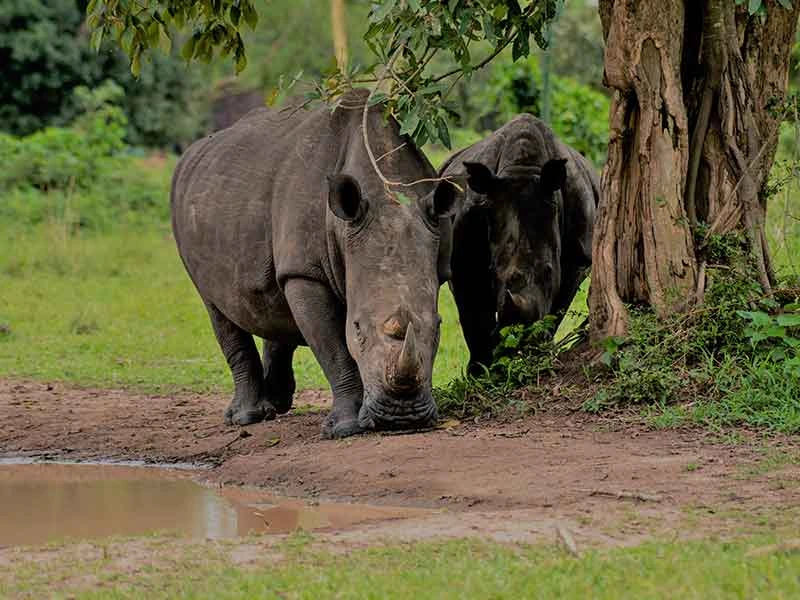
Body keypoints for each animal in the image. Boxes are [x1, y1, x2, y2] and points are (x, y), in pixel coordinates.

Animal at [170, 88, 456, 436]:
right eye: (357, 328)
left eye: (439, 327)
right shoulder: (306, 273)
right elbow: (334, 349)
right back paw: (245, 417)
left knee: (270, 300)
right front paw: (345, 429)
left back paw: (276, 403)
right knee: (217, 307)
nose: (401, 418)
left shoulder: (438, 259)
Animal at [438, 115, 600, 376]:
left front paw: (539, 356)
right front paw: (482, 373)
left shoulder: (578, 258)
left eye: (549, 272)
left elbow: (558, 308)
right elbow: (473, 315)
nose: (519, 335)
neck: (522, 169)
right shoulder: (462, 259)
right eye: (493, 273)